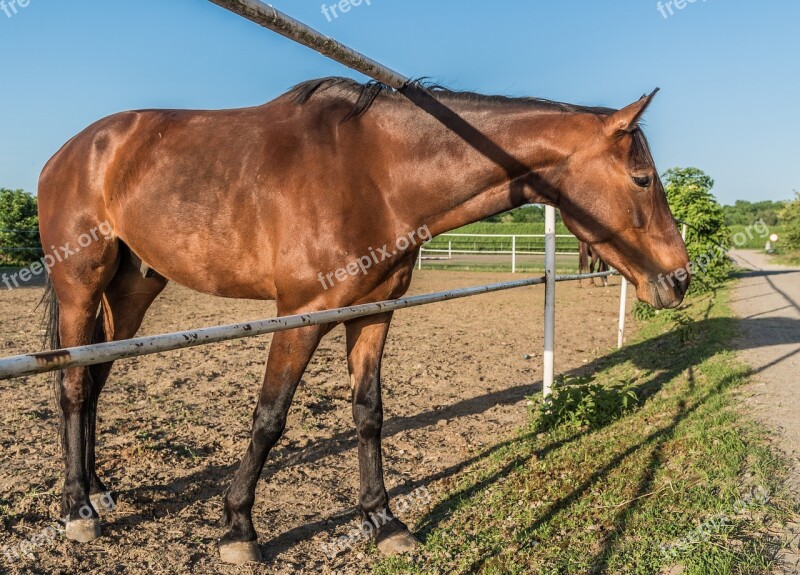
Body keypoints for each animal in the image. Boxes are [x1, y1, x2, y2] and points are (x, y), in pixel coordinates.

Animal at [36, 77, 688, 568]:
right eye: (641, 179)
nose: (680, 279)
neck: (376, 173)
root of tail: (74, 149)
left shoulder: (373, 314)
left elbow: (369, 413)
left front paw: (382, 519)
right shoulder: (299, 318)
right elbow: (270, 417)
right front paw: (239, 528)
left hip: (133, 289)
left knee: (95, 380)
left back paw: (97, 489)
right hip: (80, 288)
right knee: (72, 385)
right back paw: (76, 509)